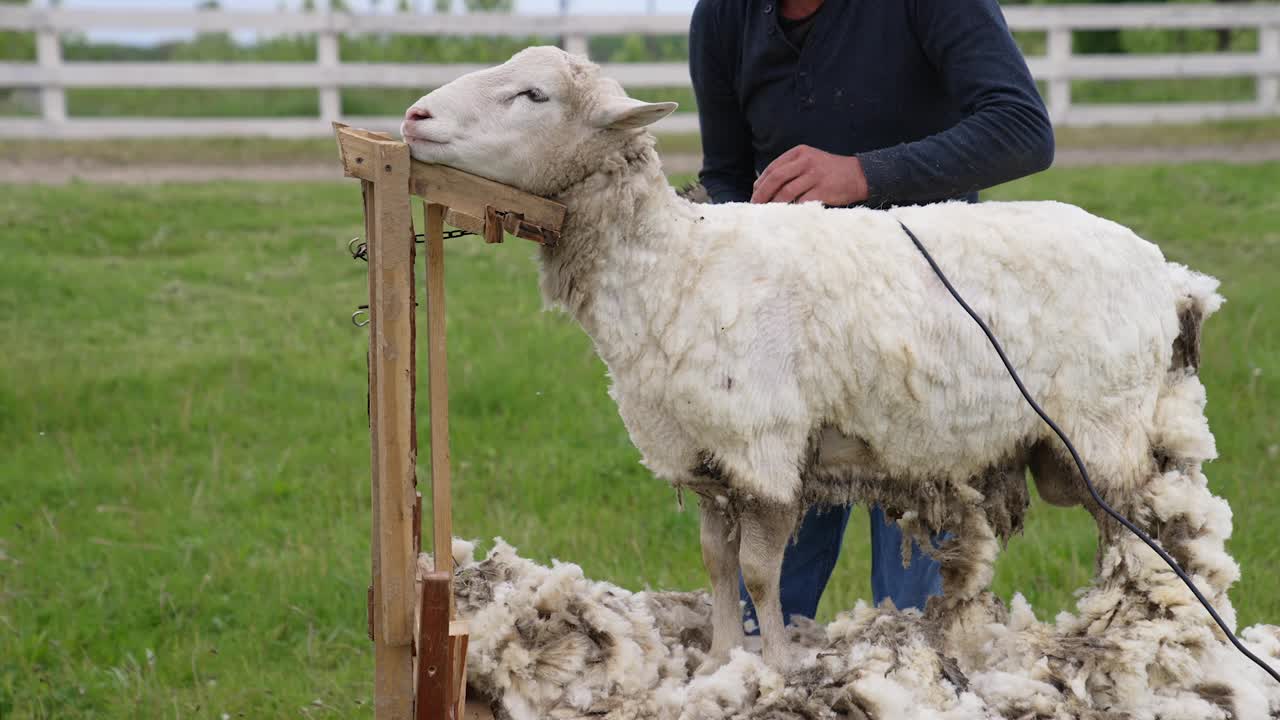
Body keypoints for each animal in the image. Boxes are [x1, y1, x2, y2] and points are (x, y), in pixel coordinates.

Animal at [401, 46, 1280, 712]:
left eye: (533, 94)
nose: (413, 119)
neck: (673, 263)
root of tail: (1173, 278)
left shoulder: (763, 442)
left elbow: (762, 571)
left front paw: (774, 665)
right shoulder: (706, 451)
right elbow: (717, 562)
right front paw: (719, 660)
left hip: (1104, 430)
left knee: (1144, 548)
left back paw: (1125, 644)